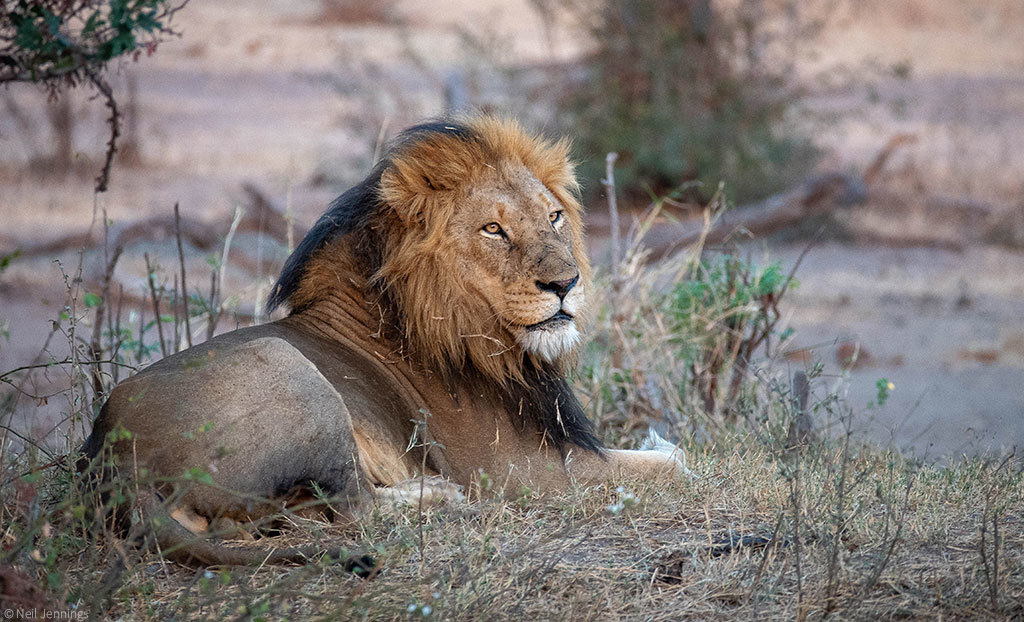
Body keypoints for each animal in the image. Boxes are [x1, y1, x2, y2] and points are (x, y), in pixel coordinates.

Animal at [81, 116, 688, 569]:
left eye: (556, 217)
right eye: (493, 229)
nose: (566, 284)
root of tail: (115, 451)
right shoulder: (522, 471)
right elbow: (675, 465)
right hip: (291, 372)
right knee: (356, 510)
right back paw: (443, 499)